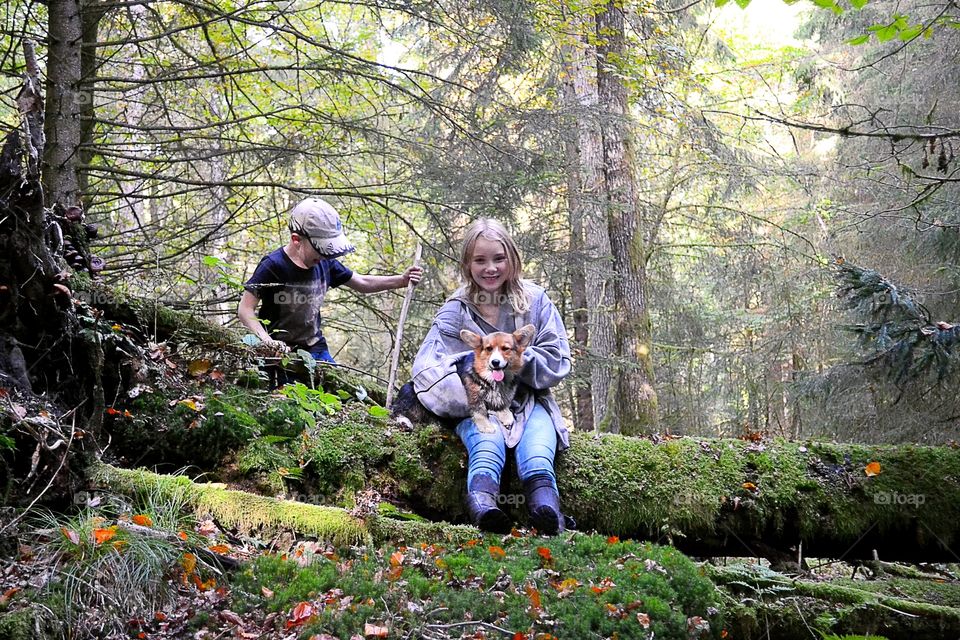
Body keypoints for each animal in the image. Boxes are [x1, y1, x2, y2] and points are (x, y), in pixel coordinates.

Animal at [392, 322, 540, 432]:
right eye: (489, 349)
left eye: (505, 349)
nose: (495, 362)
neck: (494, 382)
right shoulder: (474, 396)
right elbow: (480, 410)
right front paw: (486, 426)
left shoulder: (504, 398)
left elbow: (503, 405)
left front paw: (506, 415)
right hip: (409, 392)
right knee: (396, 410)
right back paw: (404, 421)